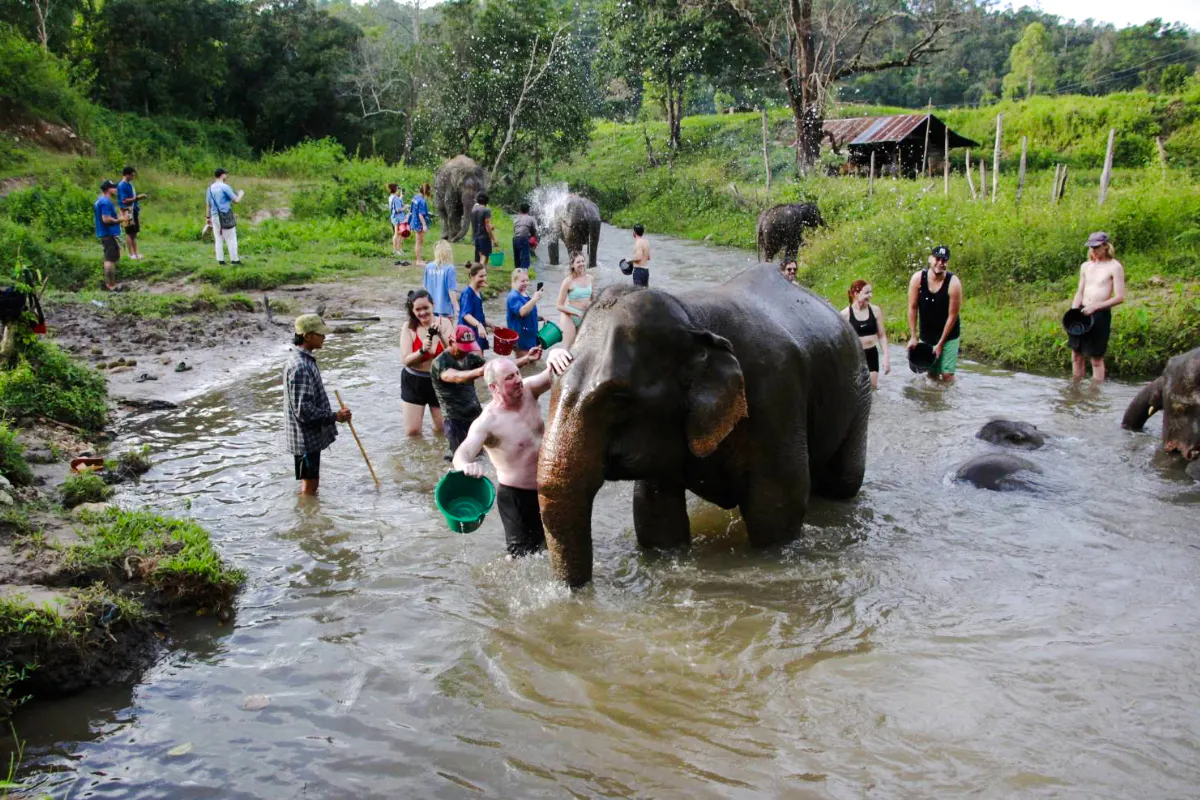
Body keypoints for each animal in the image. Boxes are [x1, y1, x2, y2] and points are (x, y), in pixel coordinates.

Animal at [537, 264, 872, 588]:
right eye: (553, 377)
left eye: (618, 398)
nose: (576, 593)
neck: (692, 319)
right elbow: (655, 514)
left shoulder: (777, 396)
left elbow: (776, 510)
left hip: (860, 389)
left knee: (842, 482)